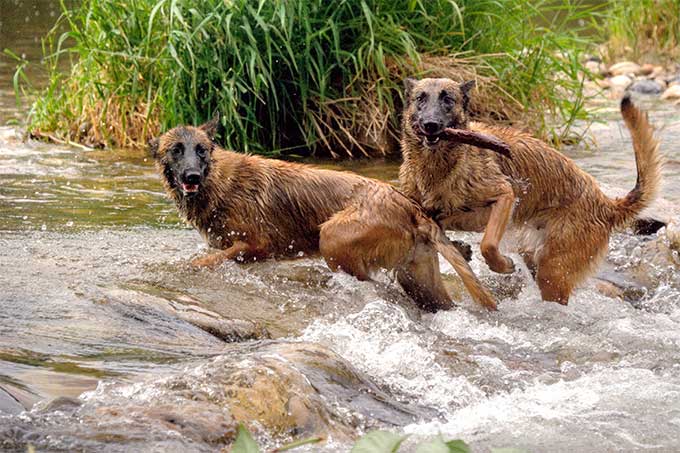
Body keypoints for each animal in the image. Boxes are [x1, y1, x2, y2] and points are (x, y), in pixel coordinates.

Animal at [149, 117, 500, 310]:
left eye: (201, 150)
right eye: (176, 150)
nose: (192, 176)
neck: (218, 182)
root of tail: (410, 206)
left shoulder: (256, 246)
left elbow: (202, 262)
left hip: (331, 238)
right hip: (421, 281)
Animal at [402, 77, 660, 304]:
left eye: (448, 99)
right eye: (420, 99)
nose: (430, 125)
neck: (438, 166)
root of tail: (606, 204)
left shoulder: (504, 195)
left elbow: (488, 245)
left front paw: (502, 265)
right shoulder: (438, 213)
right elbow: (443, 224)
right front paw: (462, 248)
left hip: (552, 272)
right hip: (535, 256)